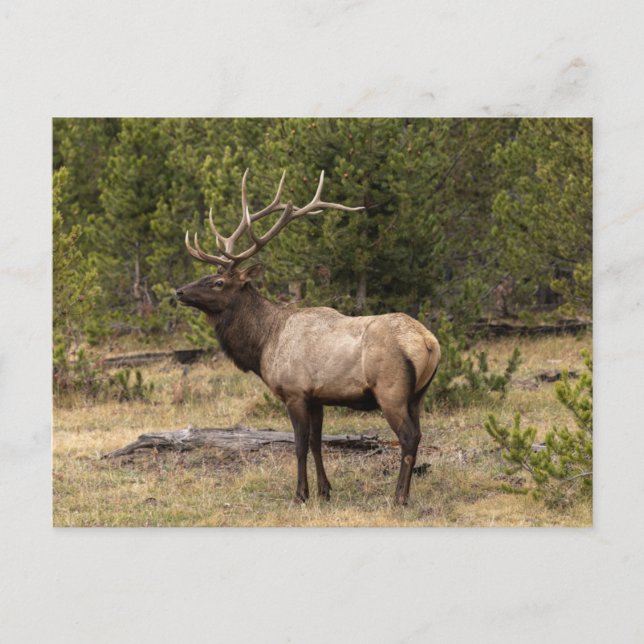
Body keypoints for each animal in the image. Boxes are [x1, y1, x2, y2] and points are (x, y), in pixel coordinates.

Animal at [175, 169, 440, 505]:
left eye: (219, 282)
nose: (179, 291)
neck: (263, 344)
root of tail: (429, 342)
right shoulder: (317, 397)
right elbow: (317, 442)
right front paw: (325, 491)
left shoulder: (295, 392)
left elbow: (299, 444)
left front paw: (300, 494)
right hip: (418, 394)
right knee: (418, 434)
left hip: (390, 390)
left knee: (408, 437)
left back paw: (399, 498)